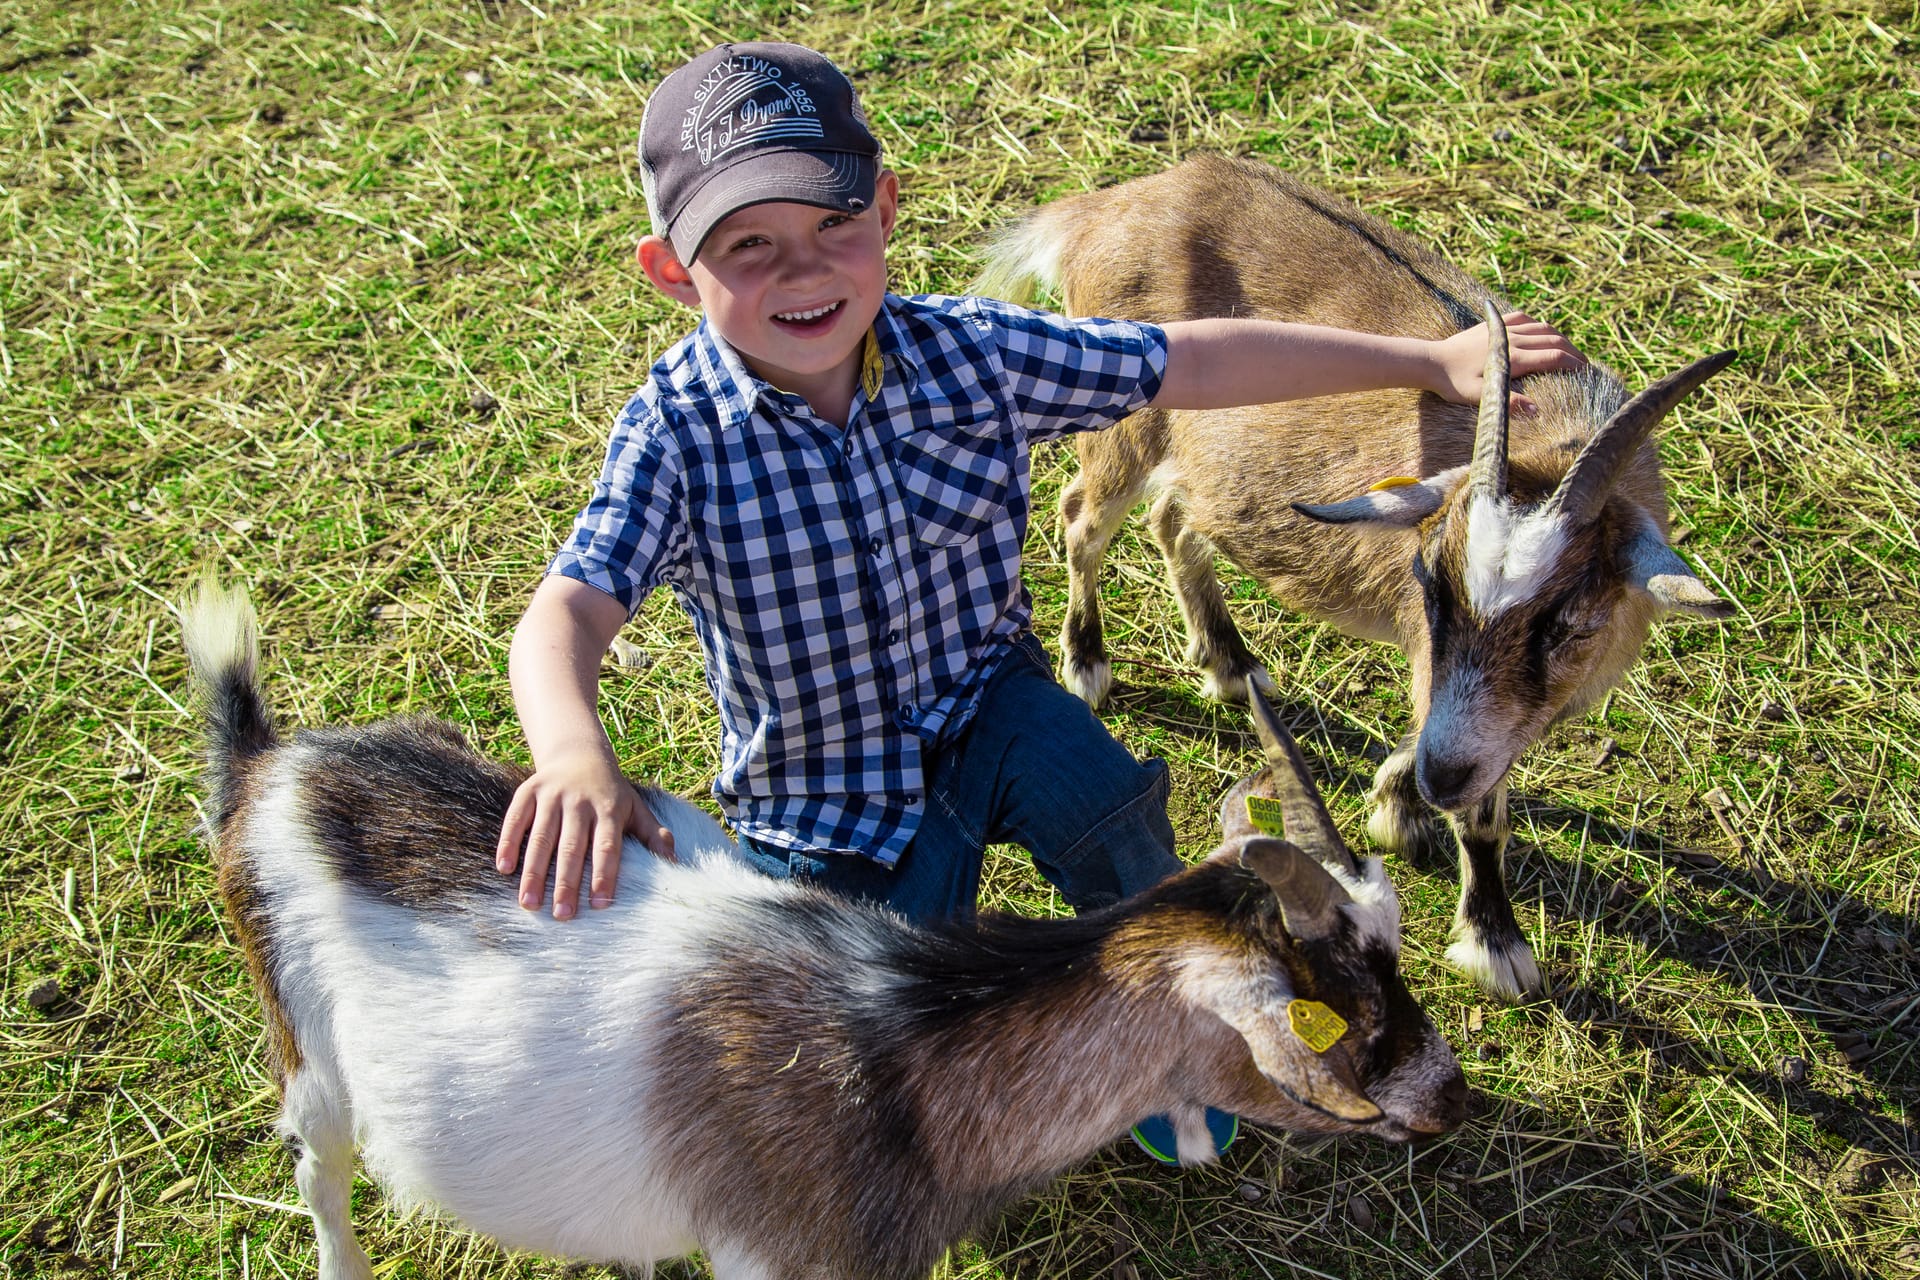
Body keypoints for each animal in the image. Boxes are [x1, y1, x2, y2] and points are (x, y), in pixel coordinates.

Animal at [181, 578, 1466, 1280]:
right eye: (1342, 1015)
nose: (1453, 1096)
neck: (893, 1053)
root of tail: (274, 763)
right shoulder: (767, 1252)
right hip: (306, 1049)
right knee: (321, 1170)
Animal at [976, 155, 1736, 1001]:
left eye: (1568, 622)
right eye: (1433, 585)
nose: (1441, 777)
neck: (1553, 436)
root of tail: (1110, 206)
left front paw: (1397, 800)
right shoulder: (1435, 658)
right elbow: (1482, 812)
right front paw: (1493, 938)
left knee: (1175, 520)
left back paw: (1229, 662)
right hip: (1125, 424)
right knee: (1083, 519)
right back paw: (1088, 659)